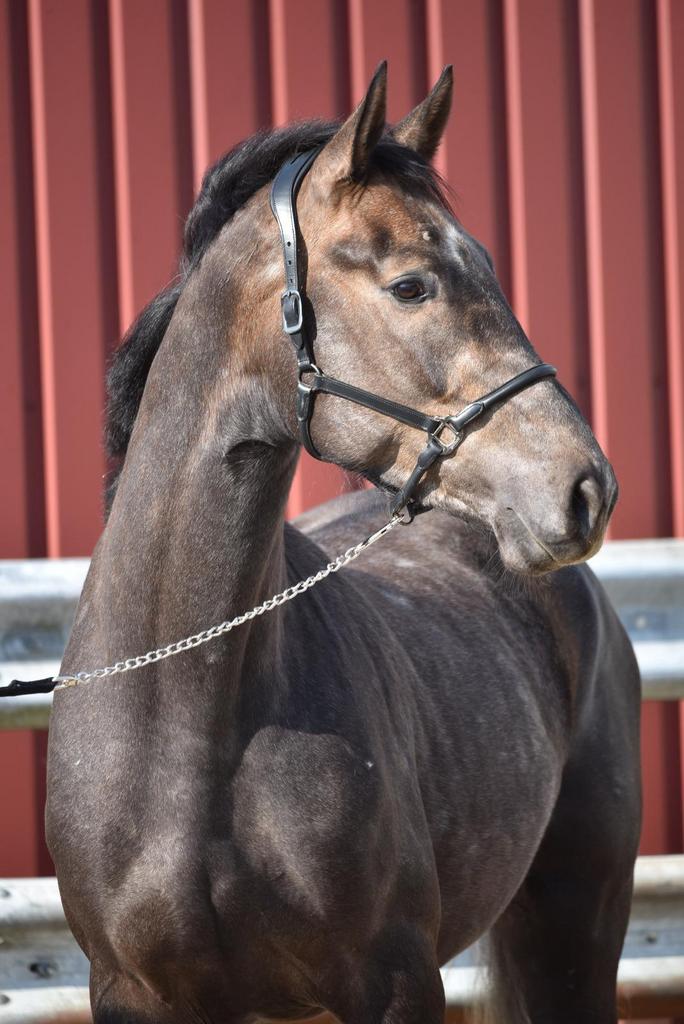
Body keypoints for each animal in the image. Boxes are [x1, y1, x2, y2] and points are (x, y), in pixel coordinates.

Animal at [46, 63, 641, 1024]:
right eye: (411, 286)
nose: (586, 488)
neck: (183, 726)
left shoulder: (395, 983)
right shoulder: (132, 993)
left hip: (575, 933)